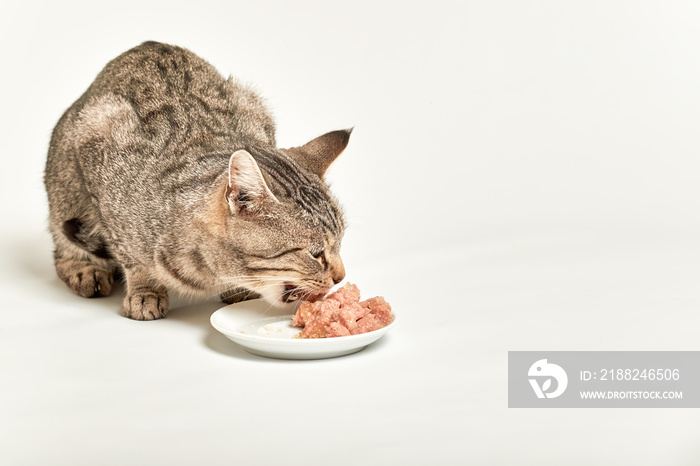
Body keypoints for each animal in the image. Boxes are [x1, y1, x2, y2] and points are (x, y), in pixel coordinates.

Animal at [44, 41, 350, 320]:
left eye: (340, 243)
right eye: (315, 253)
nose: (341, 277)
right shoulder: (99, 151)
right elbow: (130, 255)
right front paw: (145, 290)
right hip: (66, 177)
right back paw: (85, 269)